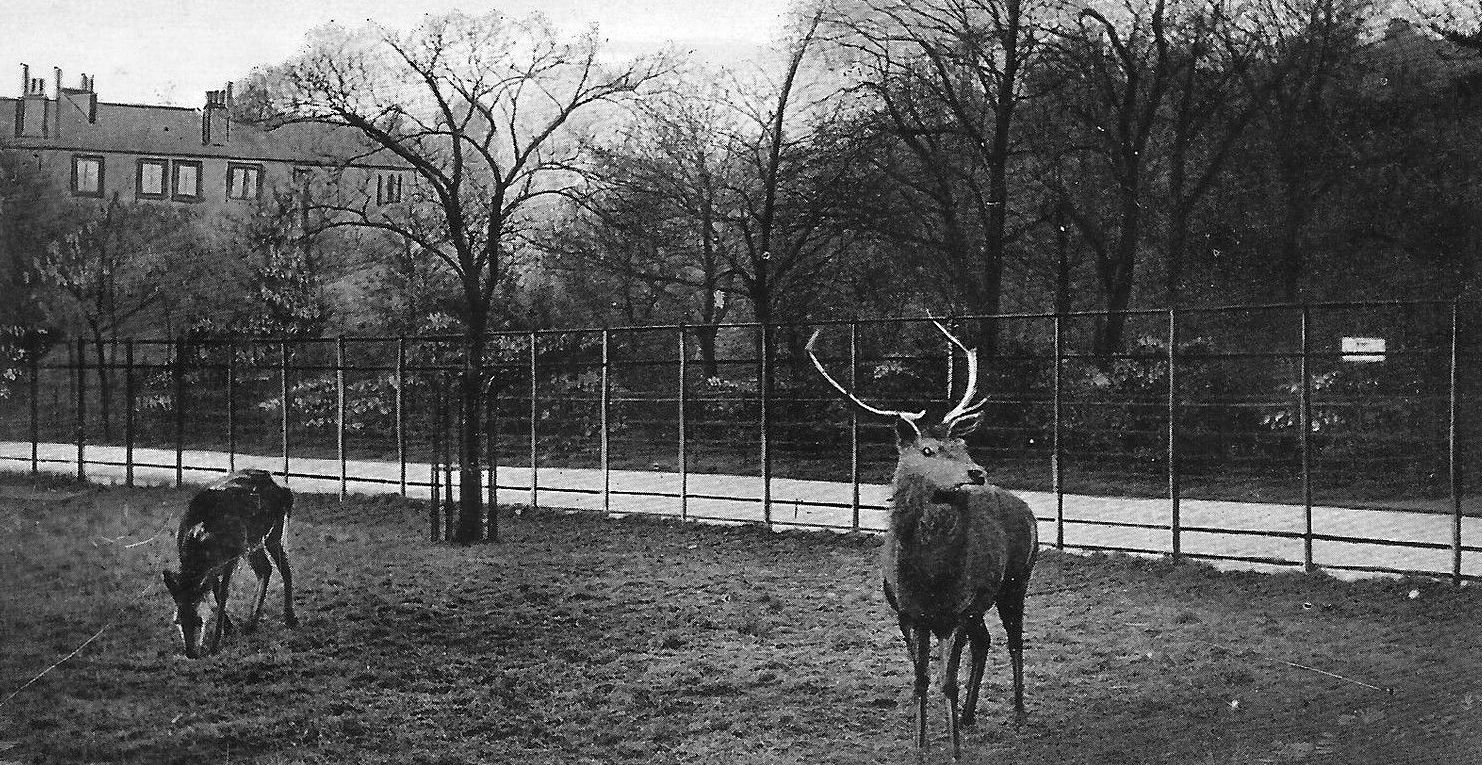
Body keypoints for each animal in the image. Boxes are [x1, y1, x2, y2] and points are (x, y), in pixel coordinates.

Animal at [162, 465, 297, 658]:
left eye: (198, 620)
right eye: (177, 620)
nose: (191, 653)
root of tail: (285, 488)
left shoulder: (230, 559)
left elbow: (223, 594)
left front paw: (215, 644)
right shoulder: (215, 567)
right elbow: (216, 592)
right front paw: (229, 628)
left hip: (275, 530)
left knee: (285, 568)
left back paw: (290, 618)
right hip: (252, 542)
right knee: (265, 568)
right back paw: (251, 623)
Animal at [806, 323, 1037, 759]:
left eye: (962, 445)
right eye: (927, 449)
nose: (977, 472)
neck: (929, 578)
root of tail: (1028, 508)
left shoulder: (956, 610)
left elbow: (946, 681)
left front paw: (954, 750)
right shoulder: (907, 611)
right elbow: (919, 680)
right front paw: (920, 745)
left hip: (1016, 580)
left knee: (1015, 640)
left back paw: (1017, 712)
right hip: (981, 604)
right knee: (985, 641)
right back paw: (969, 716)